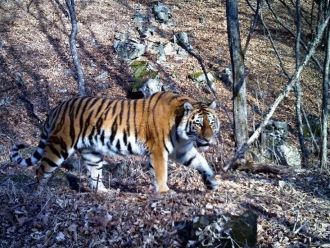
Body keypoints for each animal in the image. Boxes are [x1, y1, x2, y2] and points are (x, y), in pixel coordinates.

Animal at [10, 92, 220, 193]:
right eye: (198, 124)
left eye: (212, 123)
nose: (208, 139)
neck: (182, 134)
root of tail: (56, 107)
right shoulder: (158, 150)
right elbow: (161, 173)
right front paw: (164, 192)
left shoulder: (182, 150)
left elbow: (202, 163)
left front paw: (212, 182)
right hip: (59, 145)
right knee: (41, 171)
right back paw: (40, 195)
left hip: (92, 152)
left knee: (94, 177)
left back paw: (105, 192)